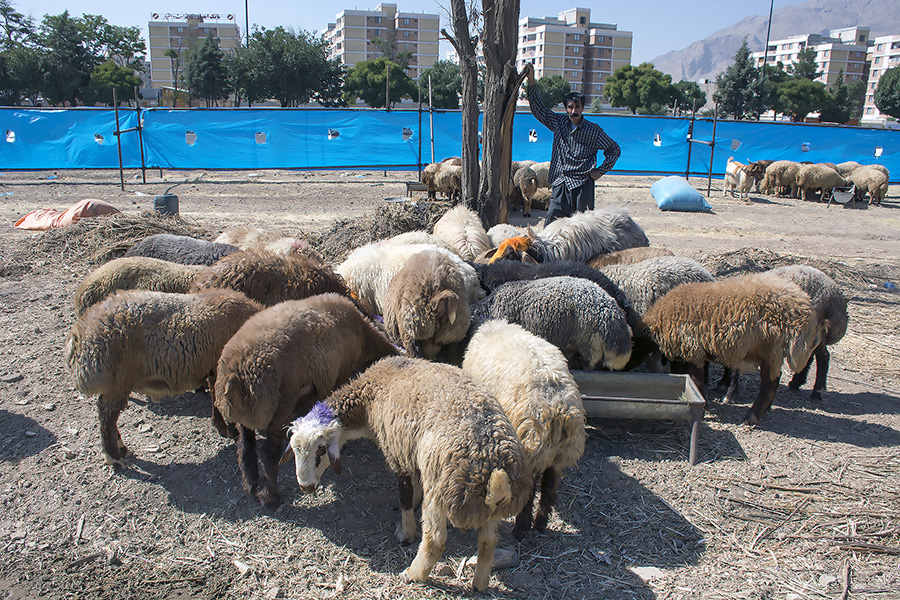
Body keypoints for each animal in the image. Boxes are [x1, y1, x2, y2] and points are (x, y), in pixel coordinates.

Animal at [65, 288, 262, 468]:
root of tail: (81, 336)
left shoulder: (212, 370)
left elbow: (215, 399)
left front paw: (220, 425)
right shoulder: (219, 369)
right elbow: (220, 401)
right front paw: (230, 431)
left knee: (108, 414)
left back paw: (121, 449)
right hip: (118, 381)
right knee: (107, 415)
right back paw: (114, 456)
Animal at [284, 354, 532, 592]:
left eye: (321, 450)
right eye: (294, 450)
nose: (305, 487)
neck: (367, 401)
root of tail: (493, 468)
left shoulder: (396, 451)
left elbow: (404, 493)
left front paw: (406, 532)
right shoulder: (410, 452)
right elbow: (414, 486)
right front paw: (414, 503)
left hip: (441, 489)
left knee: (435, 540)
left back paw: (413, 574)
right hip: (490, 509)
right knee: (488, 541)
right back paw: (479, 584)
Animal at [464, 318, 584, 540]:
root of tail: (556, 408)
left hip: (530, 449)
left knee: (530, 491)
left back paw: (520, 528)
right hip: (560, 454)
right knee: (549, 488)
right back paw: (540, 524)